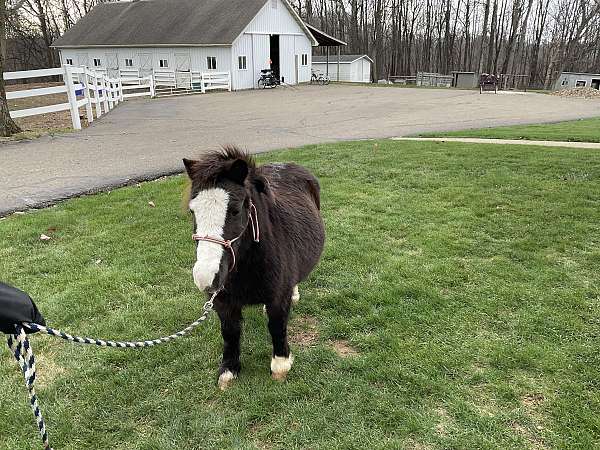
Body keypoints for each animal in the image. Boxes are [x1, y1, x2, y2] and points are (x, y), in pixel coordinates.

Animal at [182, 148, 324, 390]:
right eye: (193, 211)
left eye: (235, 210)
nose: (205, 278)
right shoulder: (223, 301)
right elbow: (230, 332)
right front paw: (229, 371)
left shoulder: (278, 297)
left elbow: (277, 326)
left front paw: (280, 367)